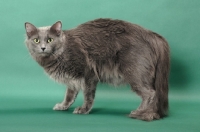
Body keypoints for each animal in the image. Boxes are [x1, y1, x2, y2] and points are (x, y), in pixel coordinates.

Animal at [24, 18, 170, 120]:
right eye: (36, 40)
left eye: (50, 40)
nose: (43, 47)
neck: (62, 52)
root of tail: (152, 35)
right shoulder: (72, 79)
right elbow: (69, 95)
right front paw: (63, 106)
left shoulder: (89, 74)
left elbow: (88, 95)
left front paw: (84, 110)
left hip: (134, 72)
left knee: (151, 93)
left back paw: (141, 112)